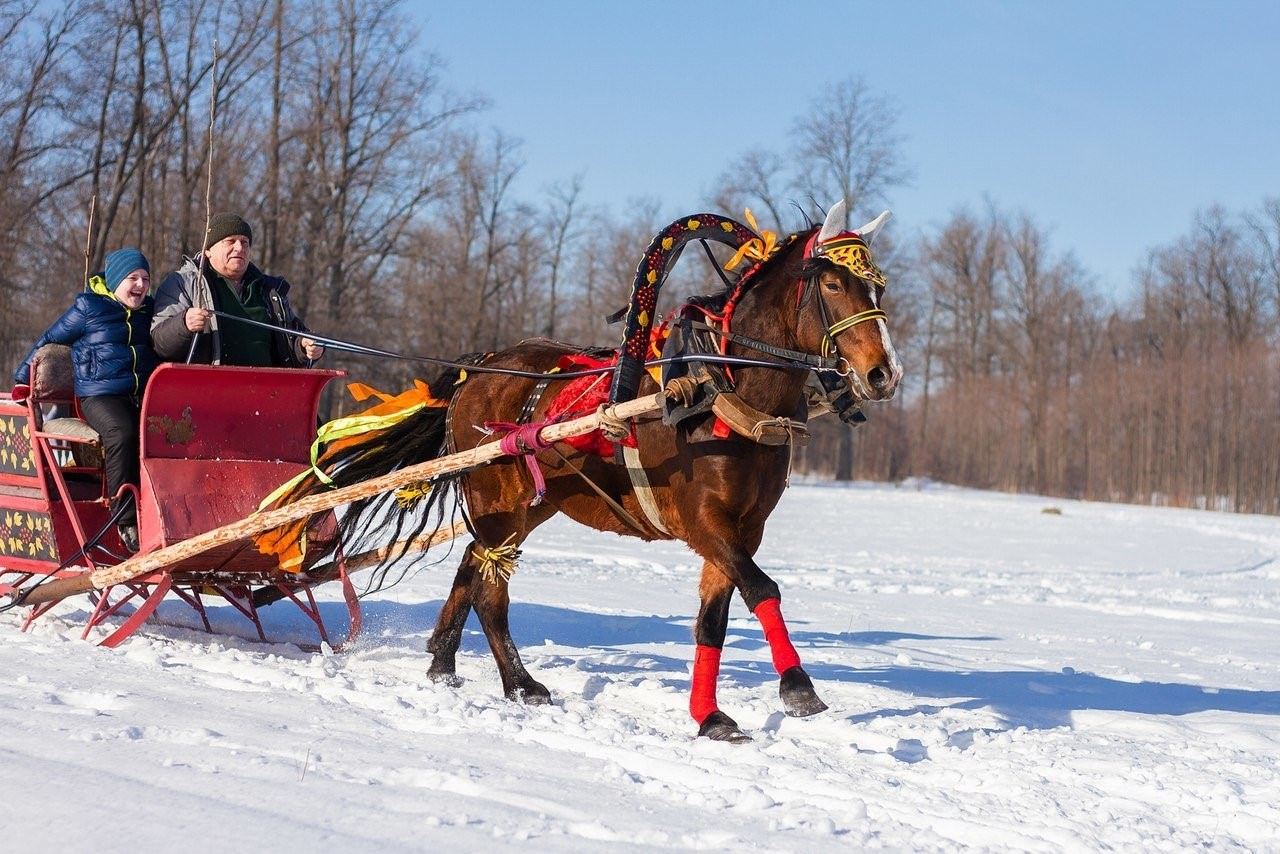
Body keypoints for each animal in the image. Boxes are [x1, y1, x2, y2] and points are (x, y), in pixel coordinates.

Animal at [291, 201, 901, 742]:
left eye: (878, 287)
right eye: (832, 285)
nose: (883, 373)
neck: (720, 391)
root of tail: (480, 368)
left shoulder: (745, 529)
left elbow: (714, 620)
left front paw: (709, 716)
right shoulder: (704, 523)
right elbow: (762, 587)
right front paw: (797, 686)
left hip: (526, 506)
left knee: (473, 565)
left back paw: (445, 660)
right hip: (496, 499)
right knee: (490, 591)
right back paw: (520, 682)